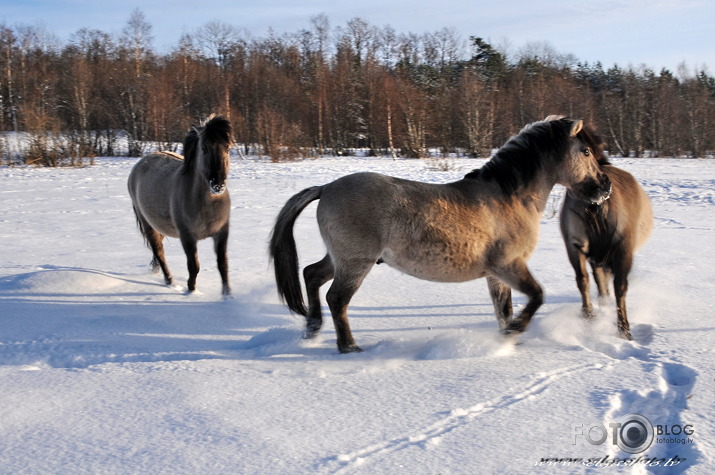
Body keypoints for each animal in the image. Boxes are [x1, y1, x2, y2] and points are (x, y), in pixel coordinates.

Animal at [126, 114, 232, 296]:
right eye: (204, 148)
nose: (217, 185)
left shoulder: (221, 233)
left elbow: (223, 265)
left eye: (227, 148)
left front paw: (227, 295)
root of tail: (141, 162)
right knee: (159, 252)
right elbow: (194, 267)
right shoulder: (187, 237)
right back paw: (169, 281)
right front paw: (191, 291)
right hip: (148, 224)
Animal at [268, 115, 608, 354]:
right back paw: (348, 346)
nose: (604, 187)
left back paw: (312, 330)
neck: (509, 197)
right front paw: (514, 333)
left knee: (311, 274)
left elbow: (504, 310)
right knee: (336, 298)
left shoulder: (496, 275)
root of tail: (326, 188)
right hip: (355, 263)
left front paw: (508, 339)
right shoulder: (508, 266)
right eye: (585, 151)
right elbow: (537, 296)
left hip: (340, 259)